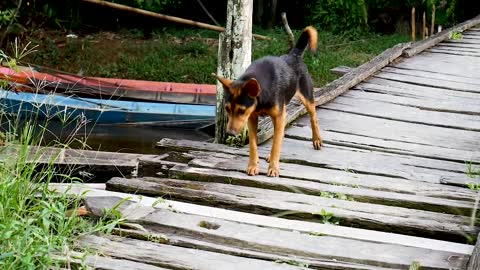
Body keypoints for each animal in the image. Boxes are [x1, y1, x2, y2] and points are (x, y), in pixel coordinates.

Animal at [214, 25, 322, 177]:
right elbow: (253, 144)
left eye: (242, 111)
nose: (229, 133)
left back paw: (317, 139)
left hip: (306, 97)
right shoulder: (252, 118)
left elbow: (276, 144)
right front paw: (253, 166)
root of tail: (293, 55)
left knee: (313, 117)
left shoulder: (278, 116)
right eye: (227, 109)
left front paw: (274, 168)